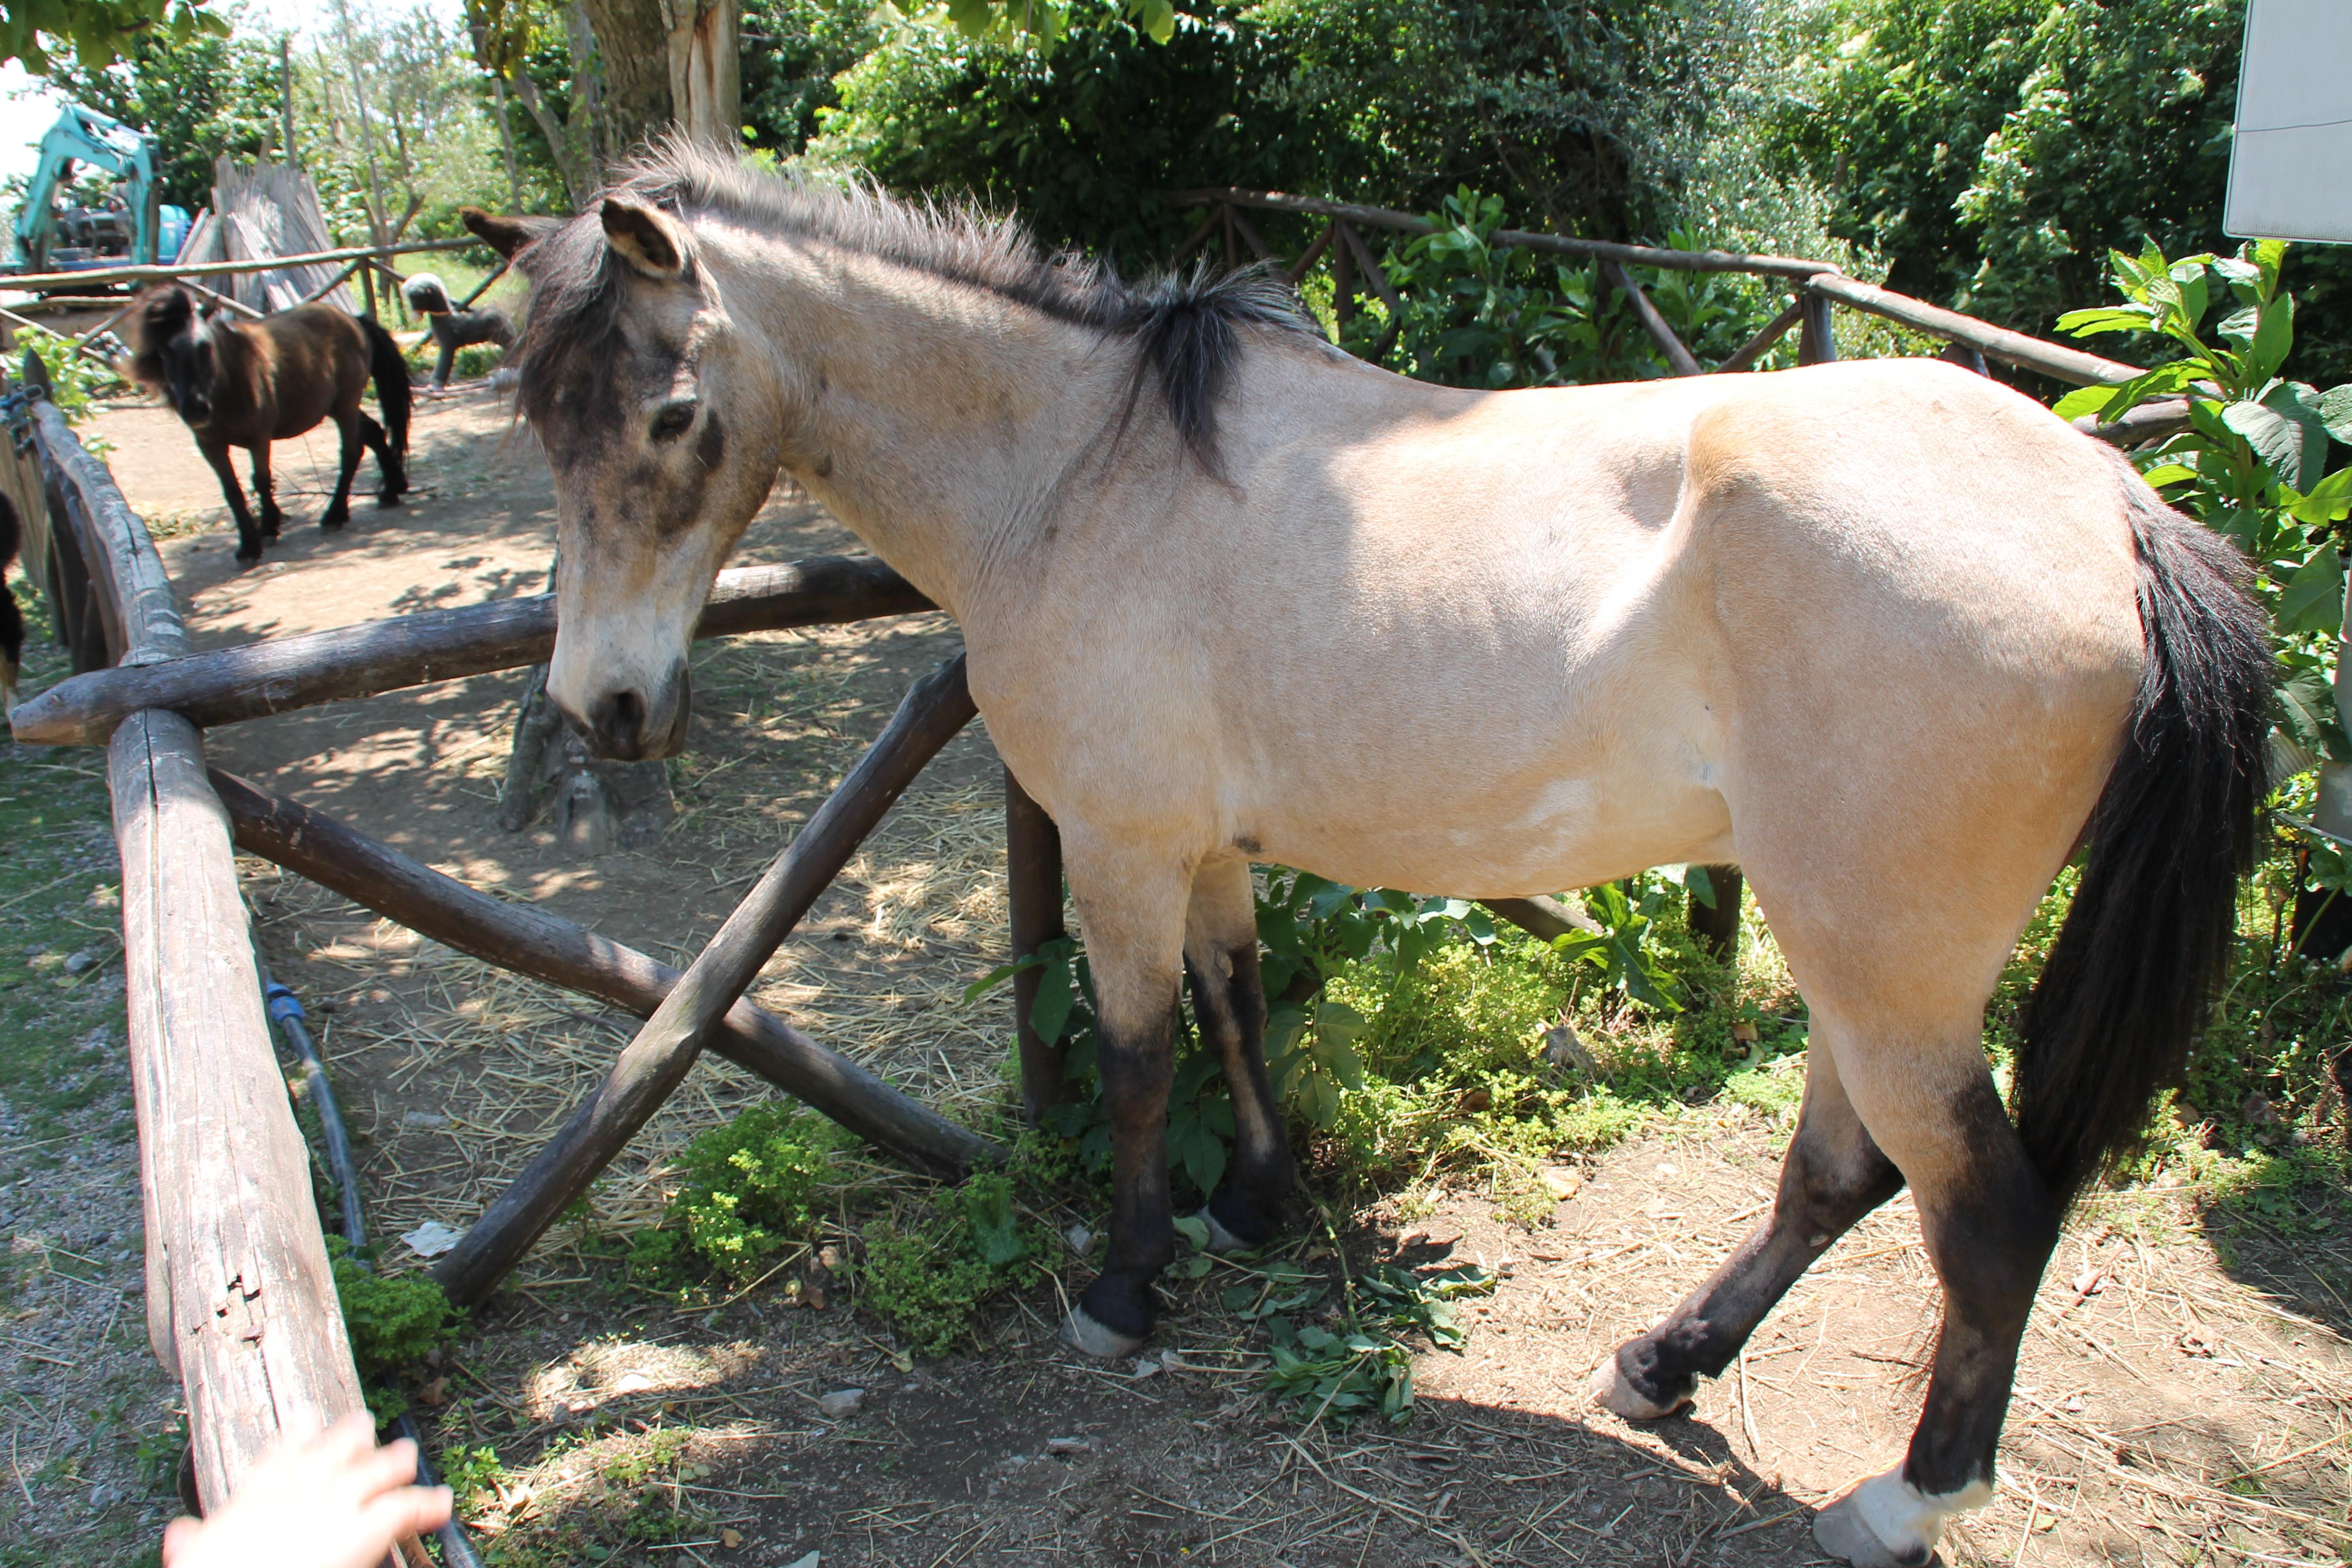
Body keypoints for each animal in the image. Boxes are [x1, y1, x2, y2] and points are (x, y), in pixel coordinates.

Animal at [126, 285, 411, 567]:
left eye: (205, 347)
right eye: (164, 352)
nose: (195, 409)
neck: (230, 381)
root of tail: (353, 320)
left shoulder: (259, 438)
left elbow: (261, 481)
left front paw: (265, 531)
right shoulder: (210, 445)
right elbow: (232, 491)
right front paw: (250, 541)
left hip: (345, 407)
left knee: (352, 453)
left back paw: (335, 514)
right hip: (336, 408)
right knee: (373, 432)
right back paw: (392, 489)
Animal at [463, 150, 2277, 1568]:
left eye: (671, 413)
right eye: (540, 419)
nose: (604, 707)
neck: (1075, 473)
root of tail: (2111, 503)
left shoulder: (1119, 844)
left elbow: (1136, 1057)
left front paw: (1124, 1286)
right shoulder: (1201, 846)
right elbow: (1237, 1004)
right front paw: (1256, 1207)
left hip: (1882, 965)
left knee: (1985, 1213)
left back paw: (1901, 1498)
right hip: (1855, 953)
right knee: (1840, 1173)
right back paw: (1661, 1364)